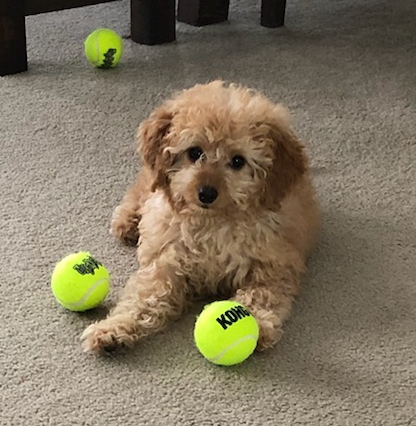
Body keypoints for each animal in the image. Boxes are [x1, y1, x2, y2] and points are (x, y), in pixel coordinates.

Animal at [82, 81, 322, 354]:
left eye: (238, 161)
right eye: (194, 152)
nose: (206, 193)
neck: (212, 223)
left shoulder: (274, 268)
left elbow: (261, 296)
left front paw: (257, 324)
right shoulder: (166, 263)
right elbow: (144, 297)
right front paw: (113, 328)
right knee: (143, 185)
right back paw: (128, 221)